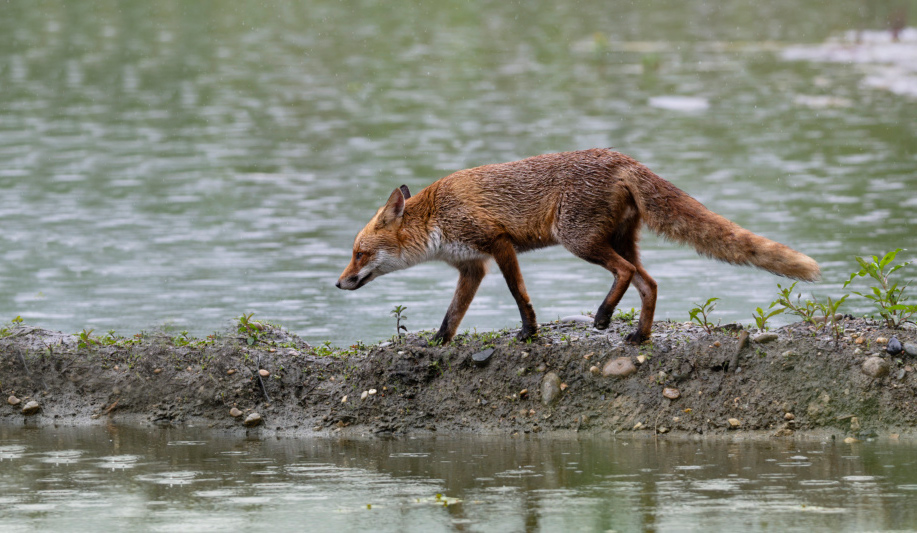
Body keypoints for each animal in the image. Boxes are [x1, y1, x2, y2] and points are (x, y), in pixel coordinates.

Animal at [336, 148, 820, 345]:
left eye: (359, 253)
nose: (339, 284)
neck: (437, 216)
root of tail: (623, 157)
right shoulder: (472, 267)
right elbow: (452, 315)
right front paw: (436, 344)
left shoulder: (497, 244)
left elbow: (519, 296)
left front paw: (529, 332)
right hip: (618, 241)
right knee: (649, 282)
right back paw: (638, 336)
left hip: (578, 240)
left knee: (627, 273)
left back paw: (605, 317)